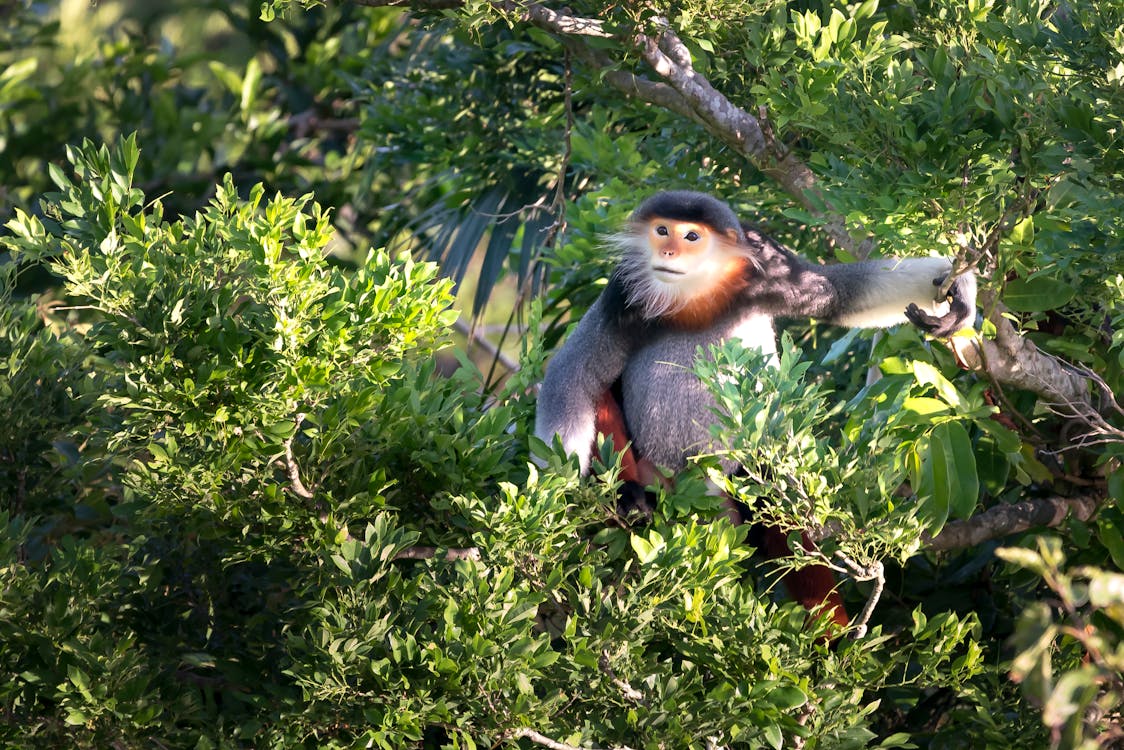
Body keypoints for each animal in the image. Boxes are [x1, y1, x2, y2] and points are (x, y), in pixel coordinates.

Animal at [534, 190, 977, 629]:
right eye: (661, 231)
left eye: (691, 236)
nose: (669, 251)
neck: (697, 293)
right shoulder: (623, 293)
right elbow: (571, 376)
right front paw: (554, 506)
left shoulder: (769, 272)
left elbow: (841, 295)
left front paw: (961, 288)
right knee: (600, 394)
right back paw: (628, 500)